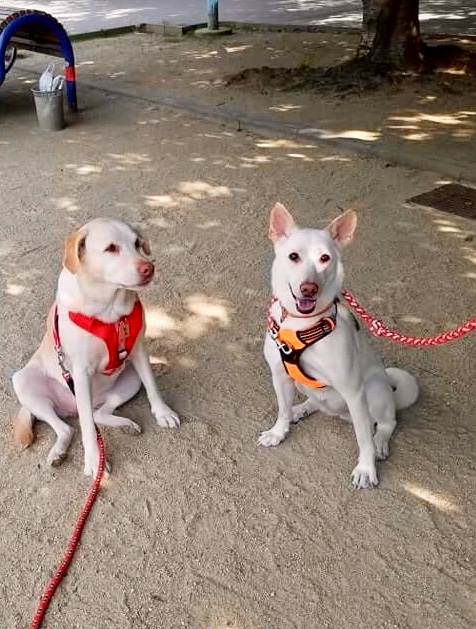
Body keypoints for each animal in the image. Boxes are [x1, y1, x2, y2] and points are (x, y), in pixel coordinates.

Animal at [13, 217, 180, 476]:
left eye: (137, 243)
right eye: (111, 248)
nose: (148, 268)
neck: (109, 307)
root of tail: (71, 407)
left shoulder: (139, 351)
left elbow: (152, 386)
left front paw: (163, 413)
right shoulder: (81, 373)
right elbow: (88, 429)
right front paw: (94, 461)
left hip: (130, 379)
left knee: (97, 415)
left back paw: (125, 425)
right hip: (24, 382)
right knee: (71, 426)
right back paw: (58, 452)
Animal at [258, 204, 418, 488]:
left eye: (325, 258)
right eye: (293, 256)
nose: (309, 289)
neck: (301, 325)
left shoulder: (354, 391)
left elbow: (363, 438)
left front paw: (366, 469)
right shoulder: (279, 375)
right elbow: (282, 409)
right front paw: (279, 431)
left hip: (375, 389)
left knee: (386, 423)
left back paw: (380, 443)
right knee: (315, 404)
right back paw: (300, 410)